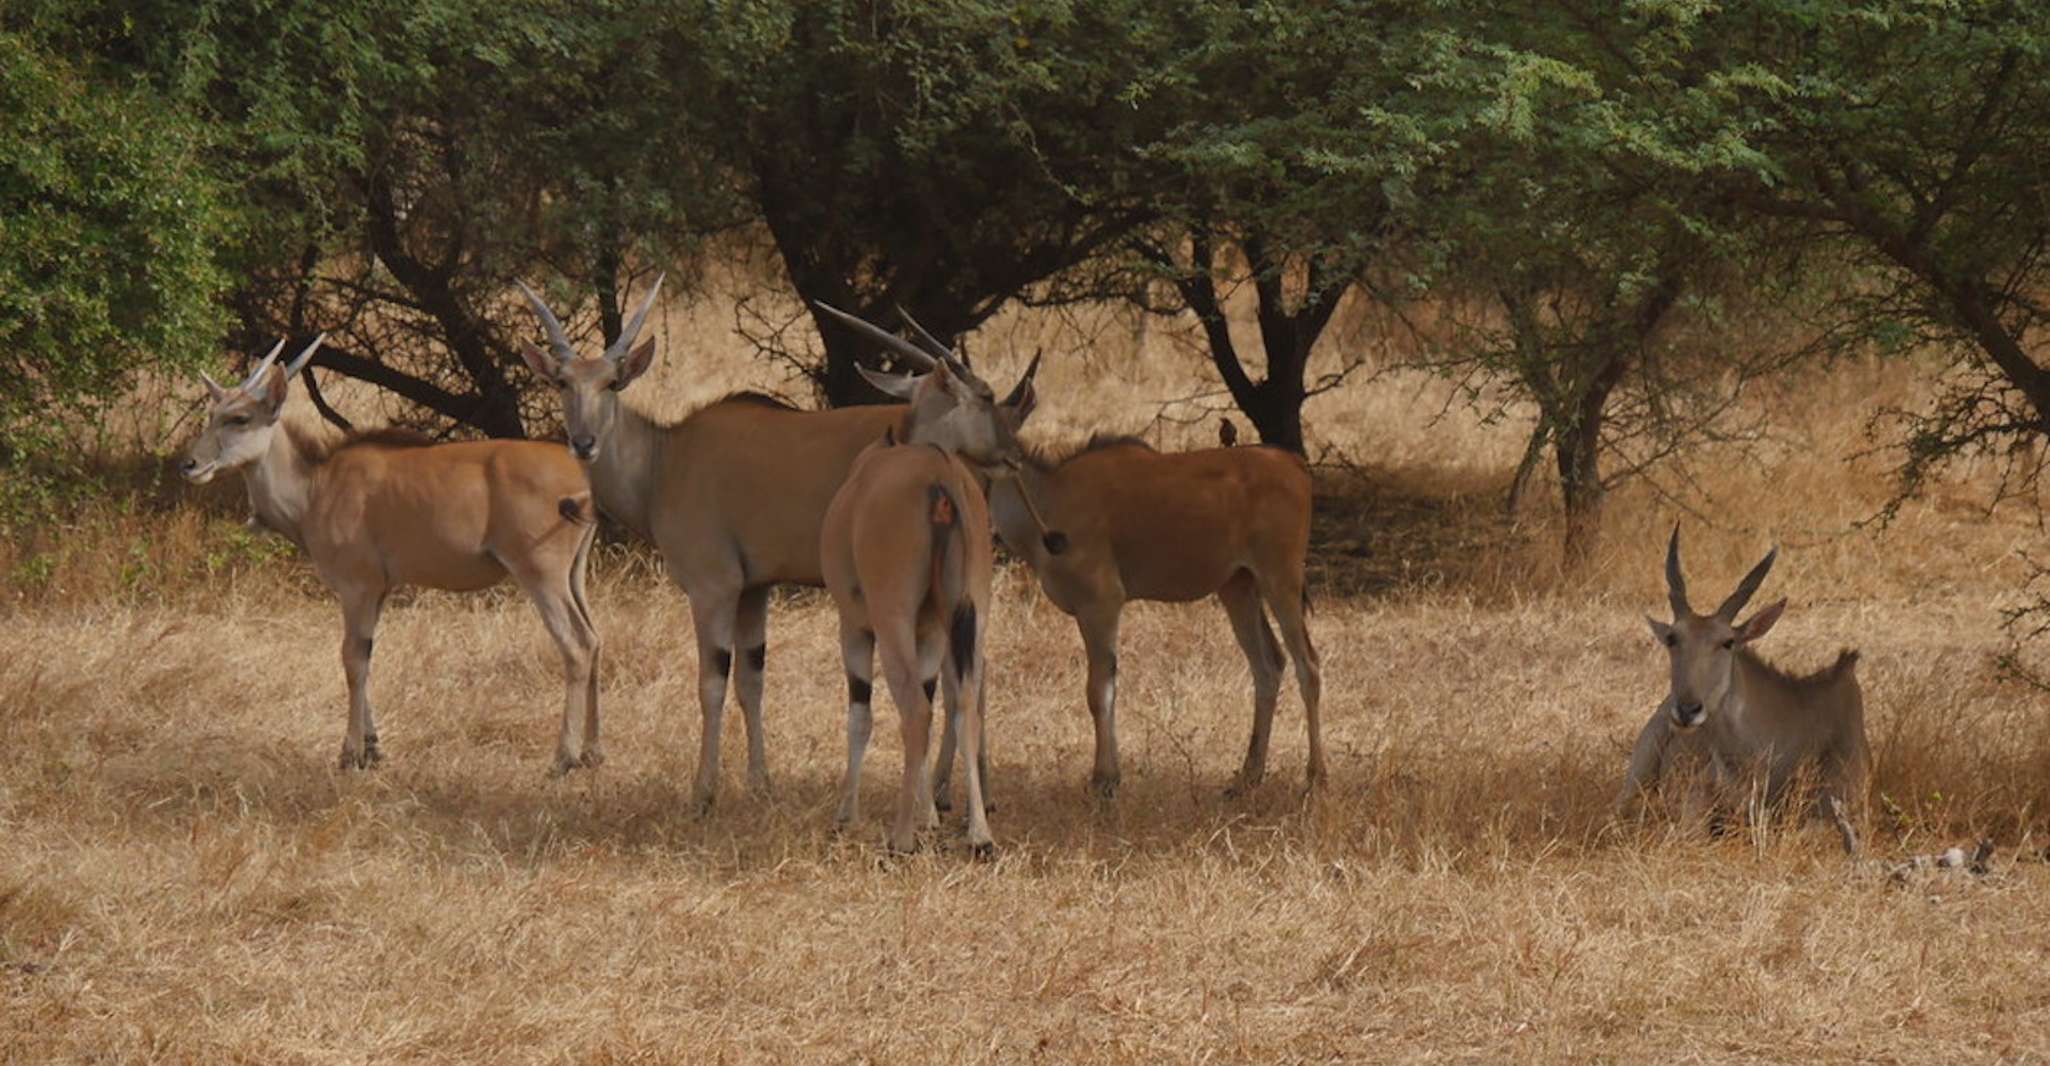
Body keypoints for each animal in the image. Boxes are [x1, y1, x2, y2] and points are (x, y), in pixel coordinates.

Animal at [181, 338, 598, 770]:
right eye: (212, 415)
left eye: (240, 418)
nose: (189, 464)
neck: (315, 487)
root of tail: (582, 479)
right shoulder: (378, 591)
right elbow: (366, 652)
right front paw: (373, 747)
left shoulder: (356, 587)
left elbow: (352, 657)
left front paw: (350, 753)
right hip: (573, 575)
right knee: (596, 639)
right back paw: (592, 752)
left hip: (541, 574)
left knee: (578, 644)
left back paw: (564, 757)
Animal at [824, 428, 1000, 852]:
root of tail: (940, 473)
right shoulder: (932, 634)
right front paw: (929, 816)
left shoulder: (854, 630)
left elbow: (861, 717)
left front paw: (846, 815)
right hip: (972, 619)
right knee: (965, 707)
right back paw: (979, 834)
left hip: (892, 625)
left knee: (916, 712)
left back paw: (901, 838)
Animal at [934, 407, 1320, 799]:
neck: (1051, 496)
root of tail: (1294, 464)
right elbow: (1110, 685)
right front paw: (1112, 775)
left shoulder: (1101, 604)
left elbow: (1098, 690)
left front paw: (1103, 779)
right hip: (1238, 588)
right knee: (1268, 665)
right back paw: (1247, 776)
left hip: (1280, 580)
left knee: (1308, 665)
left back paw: (1314, 776)